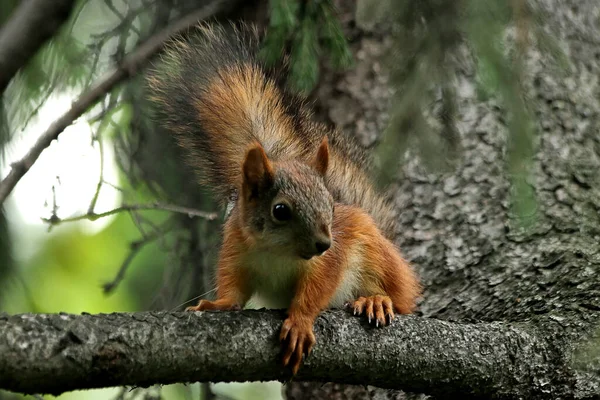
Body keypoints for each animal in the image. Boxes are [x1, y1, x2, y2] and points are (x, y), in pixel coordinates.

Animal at [147, 22, 420, 376]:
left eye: (330, 204)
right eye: (280, 210)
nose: (324, 243)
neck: (277, 252)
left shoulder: (328, 262)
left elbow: (316, 290)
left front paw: (300, 323)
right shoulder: (236, 247)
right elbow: (232, 285)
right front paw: (218, 304)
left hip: (378, 254)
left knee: (400, 297)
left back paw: (376, 300)